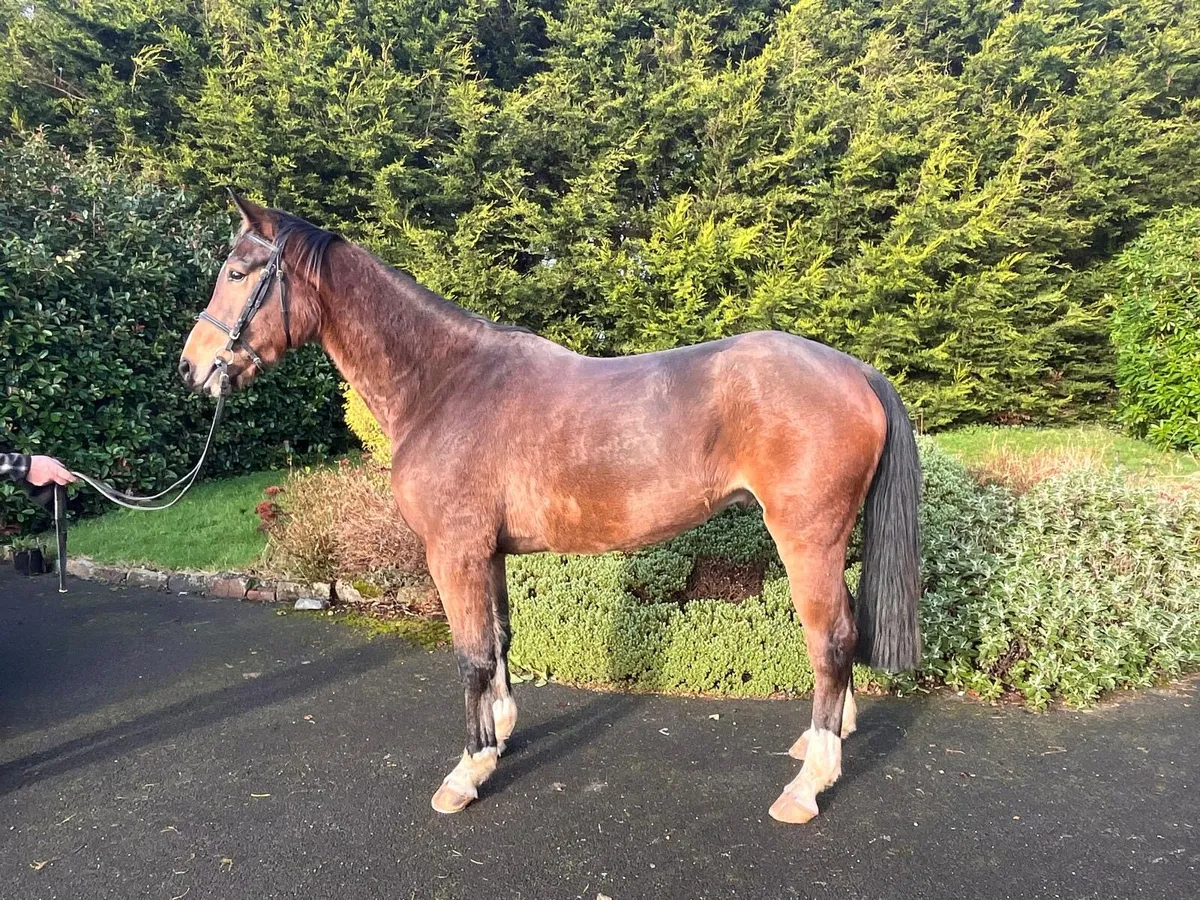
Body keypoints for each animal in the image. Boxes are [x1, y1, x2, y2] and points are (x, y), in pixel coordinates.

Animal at [178, 193, 922, 825]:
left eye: (238, 272)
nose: (192, 367)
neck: (445, 383)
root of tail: (854, 369)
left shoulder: (453, 552)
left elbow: (471, 655)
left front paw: (467, 772)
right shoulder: (487, 552)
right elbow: (501, 641)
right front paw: (499, 736)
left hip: (806, 538)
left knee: (831, 641)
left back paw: (808, 784)